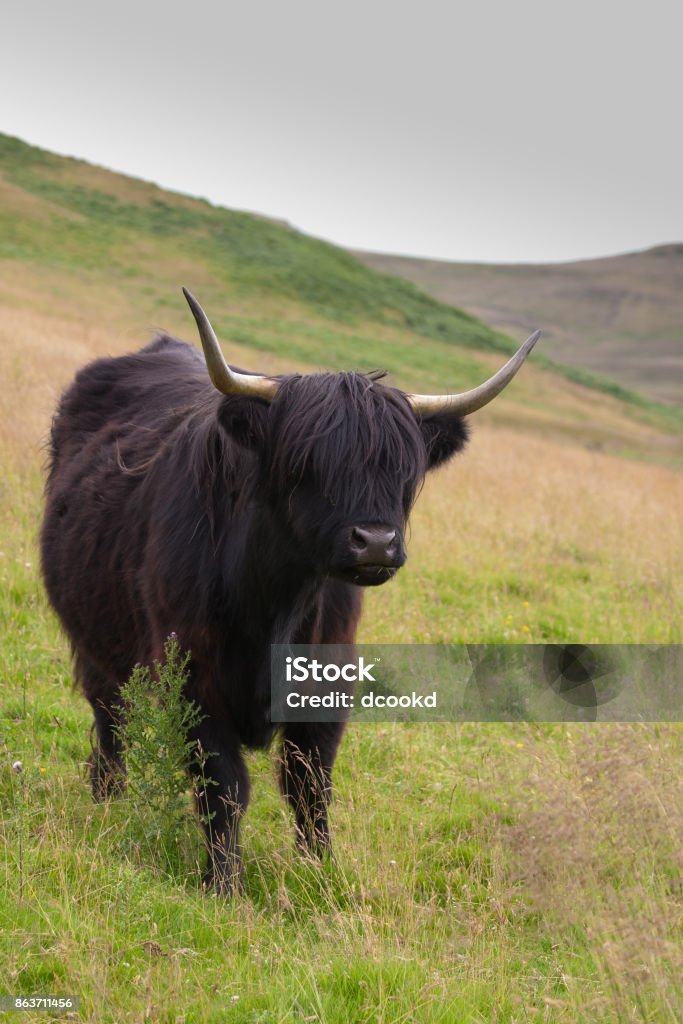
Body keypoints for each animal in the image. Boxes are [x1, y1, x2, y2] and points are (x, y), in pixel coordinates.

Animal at [41, 288, 540, 888]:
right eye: (308, 462)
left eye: (403, 469)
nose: (375, 543)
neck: (276, 600)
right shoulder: (194, 679)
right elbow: (224, 785)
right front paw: (223, 885)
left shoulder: (327, 680)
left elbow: (309, 784)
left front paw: (321, 873)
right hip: (97, 645)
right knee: (111, 721)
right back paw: (107, 801)